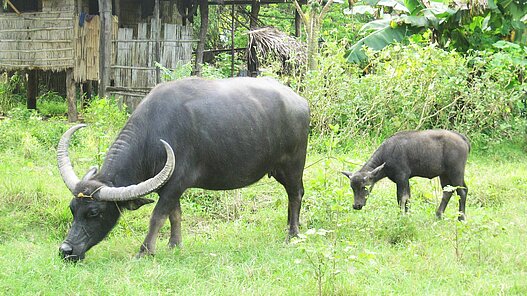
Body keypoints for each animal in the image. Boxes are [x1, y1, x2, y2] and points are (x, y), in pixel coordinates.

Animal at [57, 77, 312, 262]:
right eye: (72, 209)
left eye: (94, 213)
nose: (66, 250)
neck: (152, 134)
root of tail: (301, 102)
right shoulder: (166, 187)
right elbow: (175, 215)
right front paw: (174, 244)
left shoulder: (176, 183)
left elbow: (157, 216)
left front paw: (145, 251)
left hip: (293, 165)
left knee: (295, 194)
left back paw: (292, 233)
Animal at [342, 130, 470, 220]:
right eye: (352, 188)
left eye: (365, 187)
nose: (356, 205)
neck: (387, 155)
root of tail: (462, 139)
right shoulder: (405, 179)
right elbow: (407, 198)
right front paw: (408, 215)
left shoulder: (402, 177)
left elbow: (401, 198)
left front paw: (401, 216)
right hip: (444, 175)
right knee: (448, 191)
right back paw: (439, 215)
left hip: (456, 172)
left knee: (462, 191)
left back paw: (461, 218)